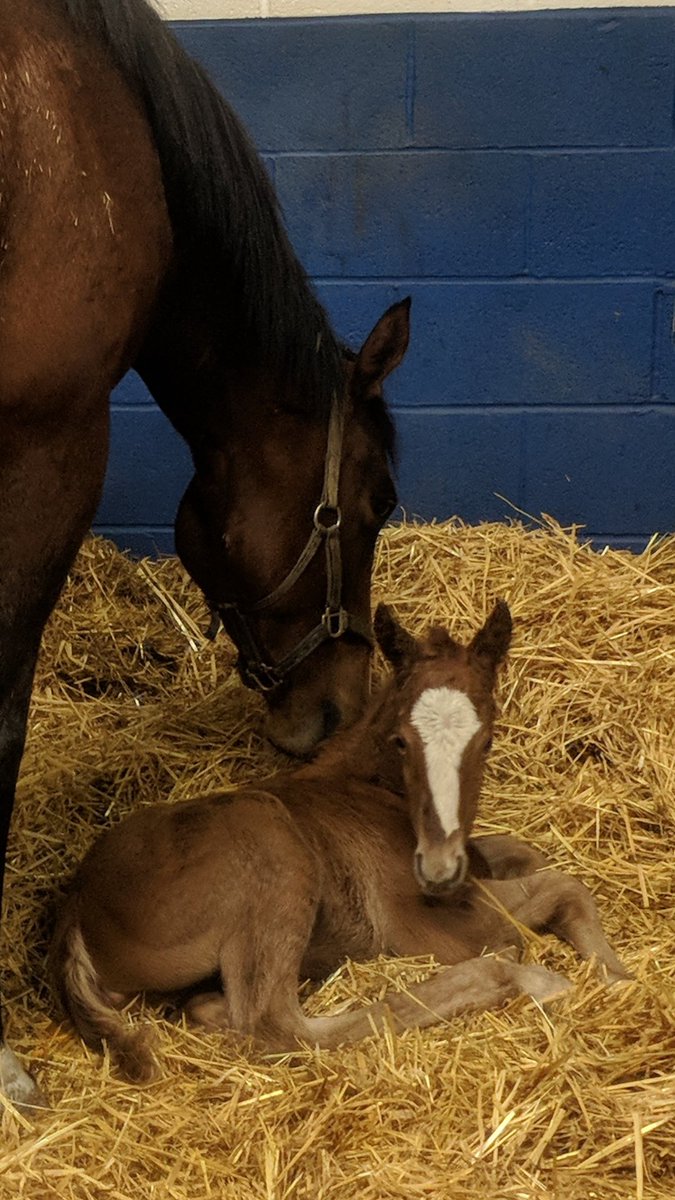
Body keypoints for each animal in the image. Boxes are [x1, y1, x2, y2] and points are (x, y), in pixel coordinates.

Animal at [52, 604, 624, 1084]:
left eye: (487, 740)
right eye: (401, 740)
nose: (437, 871)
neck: (371, 789)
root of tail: (75, 909)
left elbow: (535, 860)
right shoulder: (427, 925)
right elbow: (558, 892)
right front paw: (612, 976)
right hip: (272, 849)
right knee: (277, 1026)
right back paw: (513, 978)